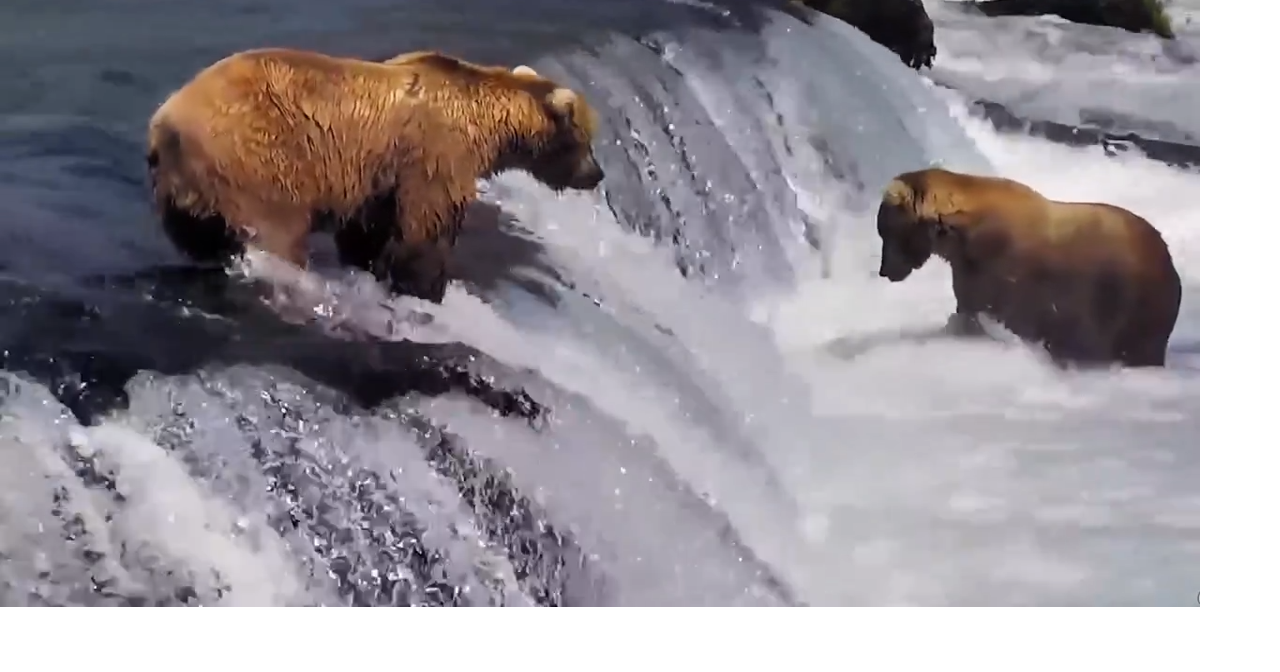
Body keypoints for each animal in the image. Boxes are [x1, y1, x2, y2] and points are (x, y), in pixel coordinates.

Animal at [145, 47, 604, 304]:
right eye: (587, 139)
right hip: (259, 161)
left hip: (187, 186)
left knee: (200, 234)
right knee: (278, 233)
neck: (489, 124)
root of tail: (163, 121)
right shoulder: (435, 155)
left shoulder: (381, 179)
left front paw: (372, 266)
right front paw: (425, 288)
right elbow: (426, 230)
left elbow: (370, 230)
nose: (597, 175)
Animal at [874, 167, 1182, 368]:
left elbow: (1010, 316)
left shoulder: (1012, 269)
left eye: (885, 231)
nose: (885, 270)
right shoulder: (971, 272)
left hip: (1133, 304)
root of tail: (1169, 259)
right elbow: (970, 309)